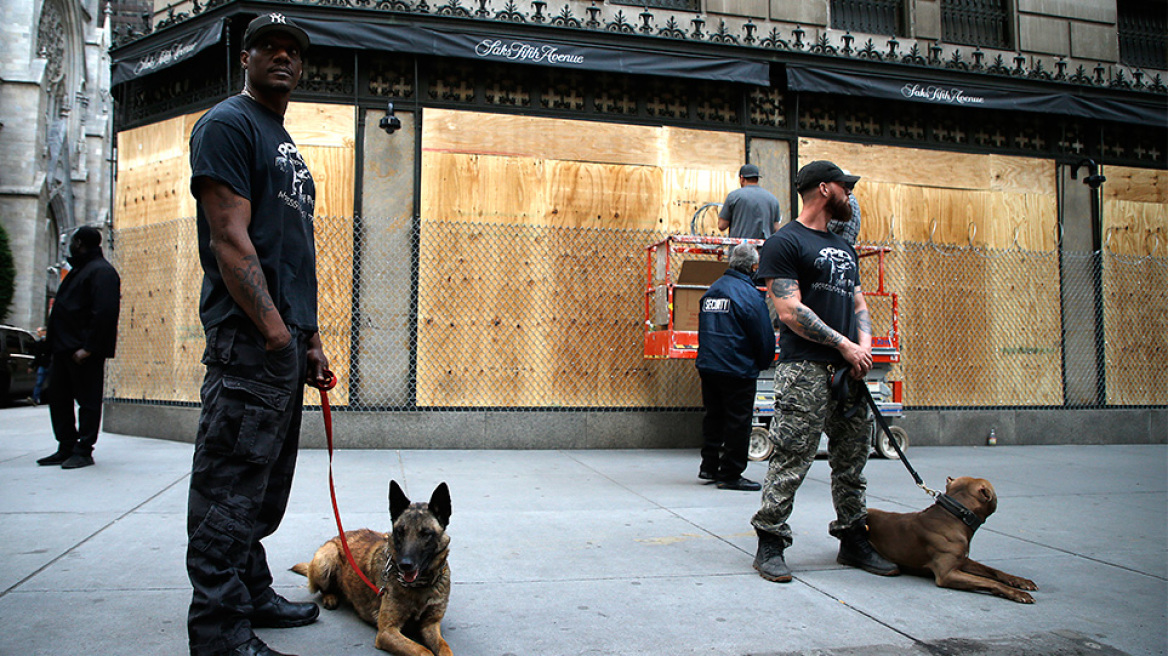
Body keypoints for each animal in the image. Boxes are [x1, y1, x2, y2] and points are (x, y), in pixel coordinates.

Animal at [290, 478, 450, 648]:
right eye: (400, 532)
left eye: (426, 534)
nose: (405, 565)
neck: (421, 585)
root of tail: (337, 537)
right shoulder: (387, 631)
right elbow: (420, 649)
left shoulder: (430, 625)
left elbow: (444, 648)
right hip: (326, 558)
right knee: (323, 589)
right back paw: (330, 597)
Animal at [868, 471, 1041, 602]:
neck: (955, 515)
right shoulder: (948, 573)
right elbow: (989, 581)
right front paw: (1017, 593)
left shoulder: (963, 561)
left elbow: (994, 571)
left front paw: (1020, 581)